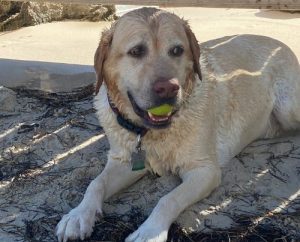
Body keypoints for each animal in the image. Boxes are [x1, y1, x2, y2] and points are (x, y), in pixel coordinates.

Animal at [56, 7, 300, 242]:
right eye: (136, 51)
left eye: (177, 50)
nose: (168, 88)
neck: (151, 133)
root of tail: (281, 43)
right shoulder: (124, 161)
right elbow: (95, 183)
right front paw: (78, 215)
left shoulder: (204, 170)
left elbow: (168, 199)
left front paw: (150, 232)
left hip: (287, 108)